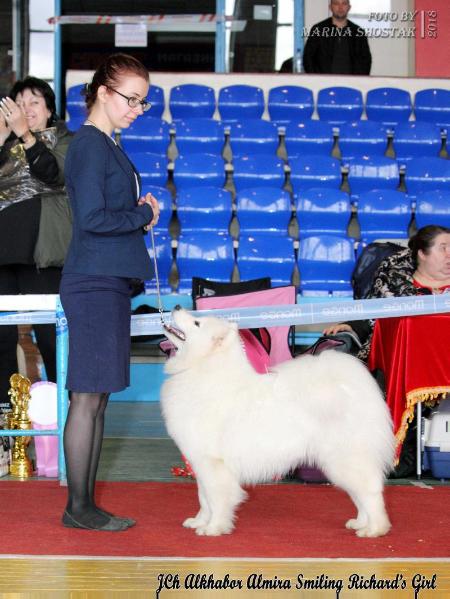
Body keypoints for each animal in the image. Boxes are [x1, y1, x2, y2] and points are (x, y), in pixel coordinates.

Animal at [162, 310, 394, 540]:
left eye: (196, 323)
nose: (176, 307)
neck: (204, 369)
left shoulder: (213, 463)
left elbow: (216, 499)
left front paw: (214, 528)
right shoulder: (199, 463)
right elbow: (203, 499)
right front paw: (199, 521)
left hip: (346, 459)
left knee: (371, 492)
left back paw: (375, 529)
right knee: (360, 494)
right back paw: (360, 523)